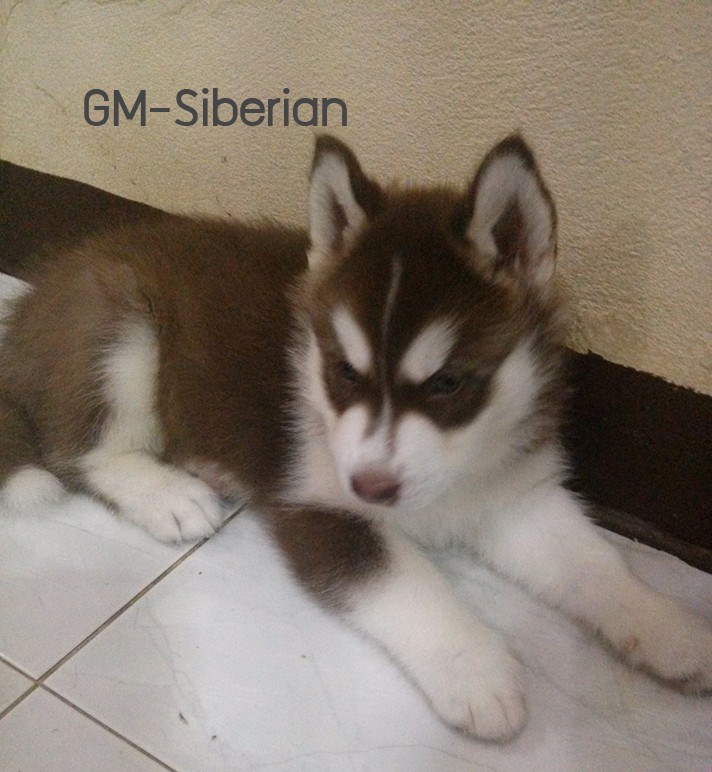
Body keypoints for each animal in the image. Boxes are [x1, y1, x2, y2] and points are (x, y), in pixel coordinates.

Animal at [1, 135, 711, 741]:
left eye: (448, 383)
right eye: (345, 371)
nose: (371, 486)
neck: (447, 485)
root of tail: (36, 296)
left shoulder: (513, 495)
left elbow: (595, 565)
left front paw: (665, 626)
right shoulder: (318, 505)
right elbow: (406, 582)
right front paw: (476, 669)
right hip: (118, 321)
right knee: (79, 449)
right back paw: (169, 494)